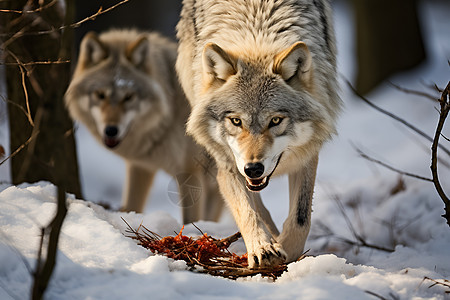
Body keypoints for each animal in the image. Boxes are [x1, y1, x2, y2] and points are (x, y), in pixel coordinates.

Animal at [64, 29, 223, 223]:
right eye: (100, 95)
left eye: (128, 97)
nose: (111, 130)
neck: (167, 116)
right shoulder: (141, 167)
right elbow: (132, 207)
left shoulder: (191, 173)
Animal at [176, 0, 342, 268]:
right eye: (236, 121)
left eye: (275, 121)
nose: (253, 169)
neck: (256, 25)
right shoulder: (227, 162)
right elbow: (248, 211)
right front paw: (264, 248)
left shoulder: (308, 154)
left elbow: (300, 220)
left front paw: (287, 254)